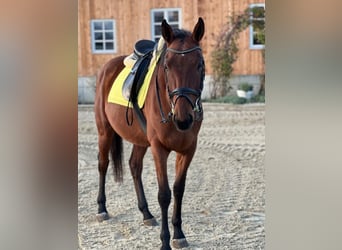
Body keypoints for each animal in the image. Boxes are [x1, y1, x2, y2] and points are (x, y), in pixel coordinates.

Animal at [93, 18, 204, 250]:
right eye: (167, 66)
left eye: (199, 64)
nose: (183, 119)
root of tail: (107, 66)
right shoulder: (159, 149)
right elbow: (164, 194)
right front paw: (165, 241)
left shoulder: (188, 149)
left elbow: (178, 189)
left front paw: (179, 234)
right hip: (104, 132)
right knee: (103, 164)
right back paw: (101, 209)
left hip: (140, 140)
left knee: (134, 166)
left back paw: (146, 213)